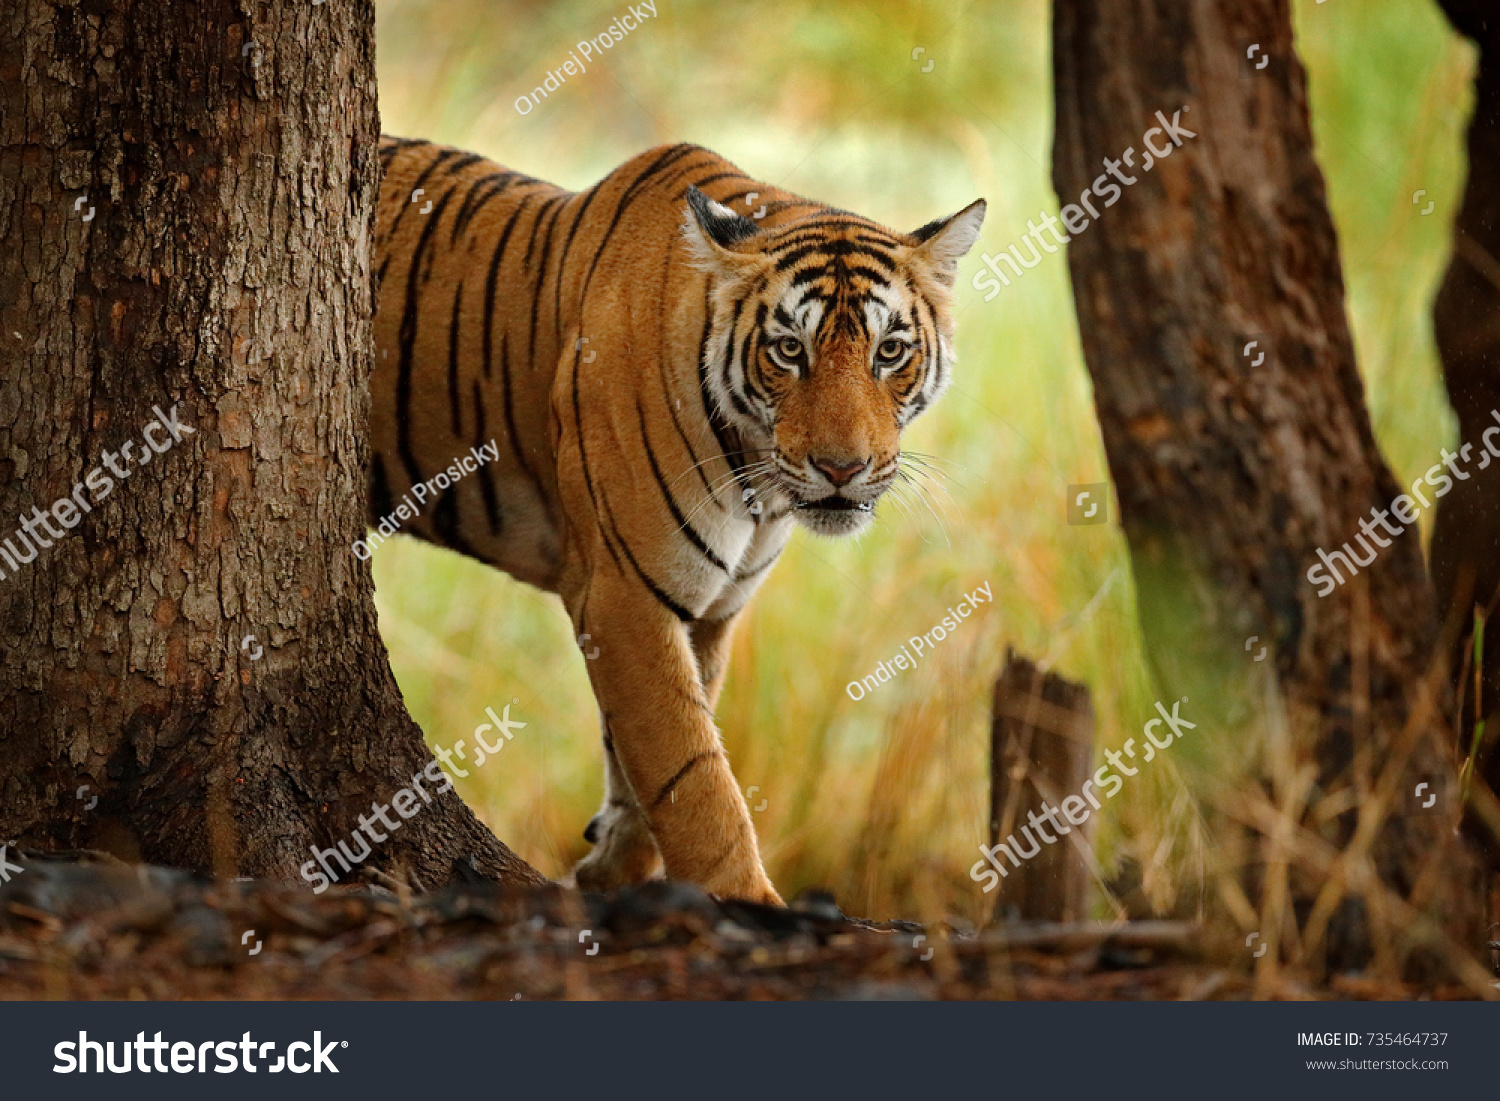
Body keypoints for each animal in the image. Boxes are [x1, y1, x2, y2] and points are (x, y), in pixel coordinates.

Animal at [371, 136, 984, 905]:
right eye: (790, 350)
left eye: (890, 351)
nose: (842, 468)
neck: (760, 488)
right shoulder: (624, 593)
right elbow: (691, 771)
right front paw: (745, 900)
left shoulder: (710, 608)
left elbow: (652, 747)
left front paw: (614, 868)